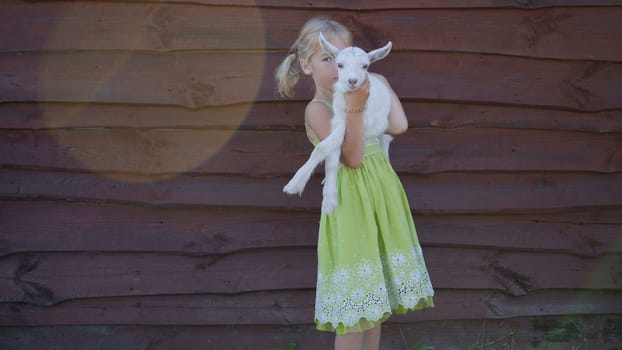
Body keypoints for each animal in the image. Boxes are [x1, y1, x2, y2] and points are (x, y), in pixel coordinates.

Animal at [284, 32, 394, 213]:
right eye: (340, 65)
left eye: (365, 66)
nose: (352, 81)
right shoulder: (337, 122)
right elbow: (330, 158)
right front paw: (329, 200)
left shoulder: (357, 124)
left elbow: (323, 148)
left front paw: (295, 184)